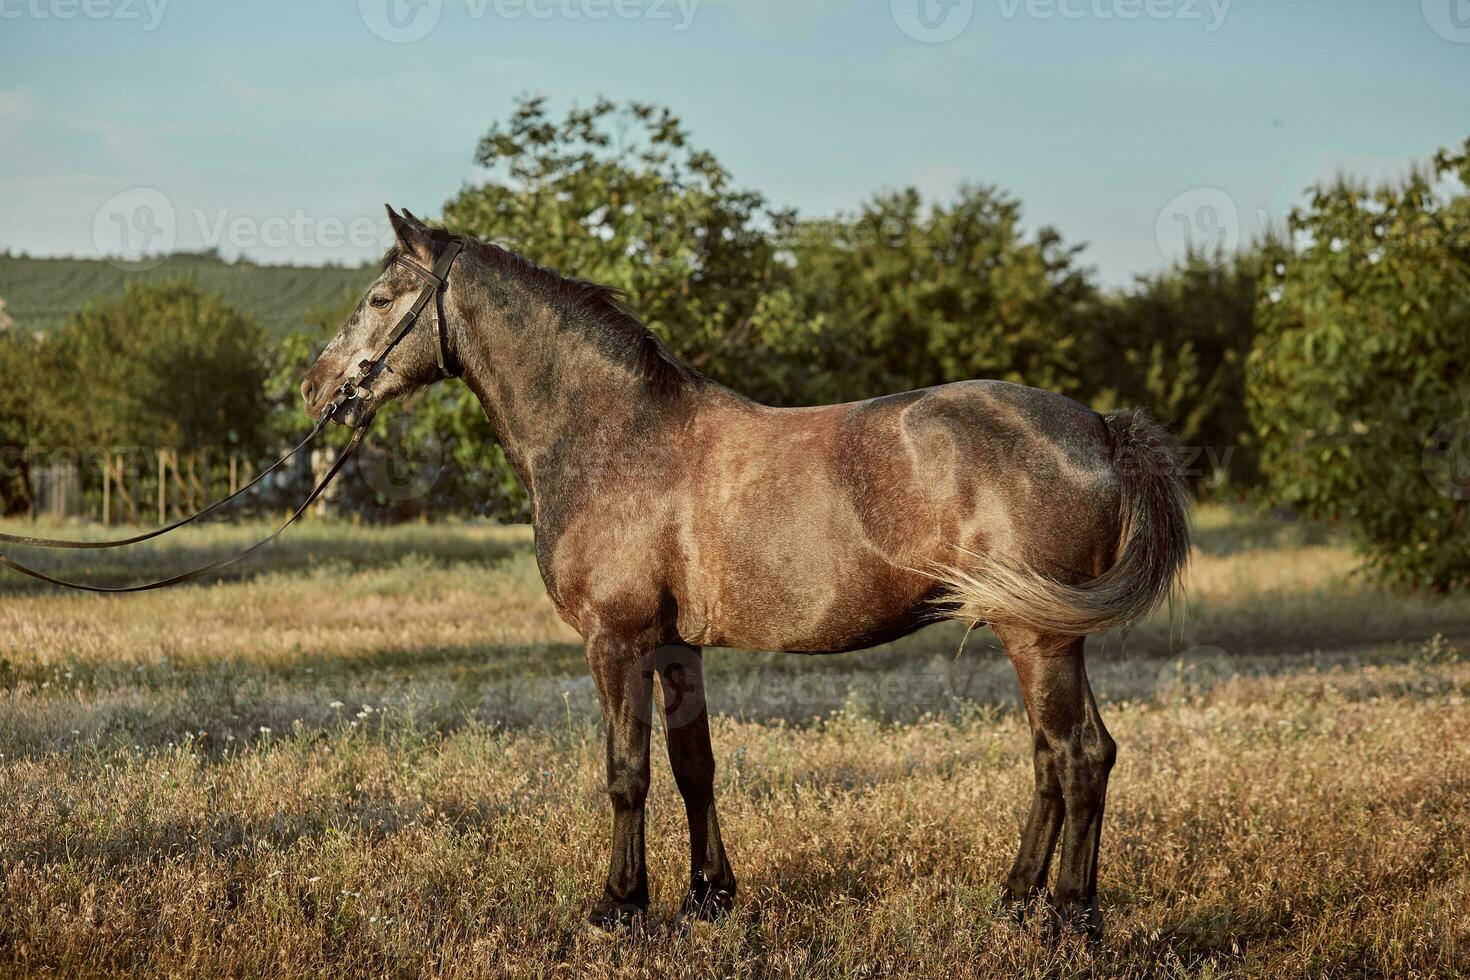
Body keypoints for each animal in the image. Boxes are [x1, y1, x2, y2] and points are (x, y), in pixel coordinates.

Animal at [304, 207, 1187, 940]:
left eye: (381, 297)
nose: (317, 386)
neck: (618, 436)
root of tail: (1101, 429)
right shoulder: (673, 647)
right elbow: (694, 766)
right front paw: (706, 897)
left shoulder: (616, 642)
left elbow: (627, 773)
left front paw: (618, 907)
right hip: (1043, 633)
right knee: (1056, 757)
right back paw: (1015, 901)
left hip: (1039, 636)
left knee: (1078, 756)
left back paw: (1070, 919)